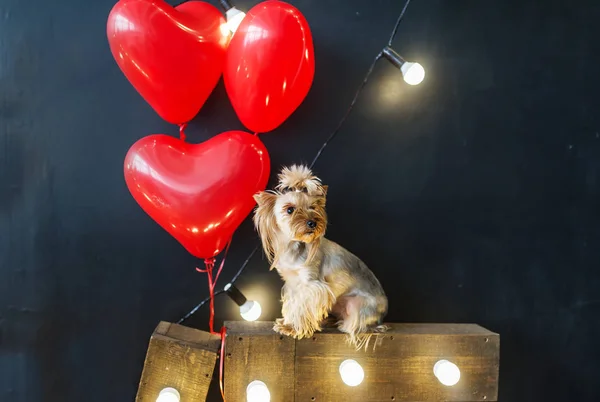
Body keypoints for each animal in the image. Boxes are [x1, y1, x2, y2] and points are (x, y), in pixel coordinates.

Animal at [253, 163, 390, 348]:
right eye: (290, 209)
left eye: (313, 207)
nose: (312, 223)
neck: (295, 245)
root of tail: (382, 316)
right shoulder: (293, 283)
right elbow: (292, 304)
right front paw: (287, 322)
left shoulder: (311, 285)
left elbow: (302, 306)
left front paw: (293, 328)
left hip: (356, 305)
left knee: (361, 325)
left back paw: (345, 325)